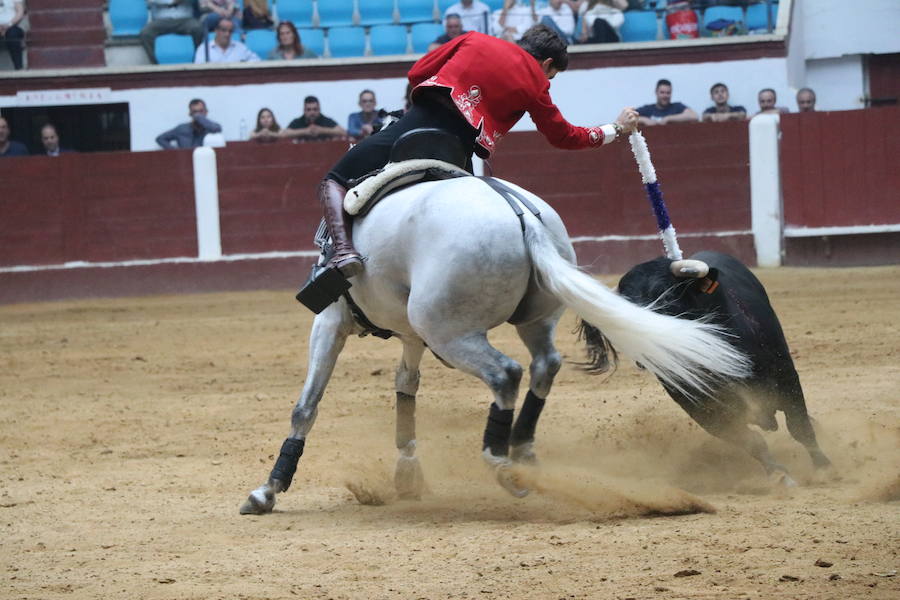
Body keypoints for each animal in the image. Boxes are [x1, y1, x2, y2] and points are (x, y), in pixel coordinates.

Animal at [237, 176, 744, 512]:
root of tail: (517, 213)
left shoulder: (331, 320)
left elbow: (307, 405)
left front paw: (268, 489)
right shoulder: (411, 334)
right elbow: (406, 387)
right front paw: (407, 473)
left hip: (451, 331)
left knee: (507, 373)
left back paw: (502, 463)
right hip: (525, 321)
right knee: (545, 365)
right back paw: (523, 451)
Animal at [584, 251, 828, 480]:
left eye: (666, 296)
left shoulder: (785, 374)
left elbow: (799, 426)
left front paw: (823, 468)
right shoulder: (701, 408)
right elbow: (750, 441)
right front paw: (779, 475)